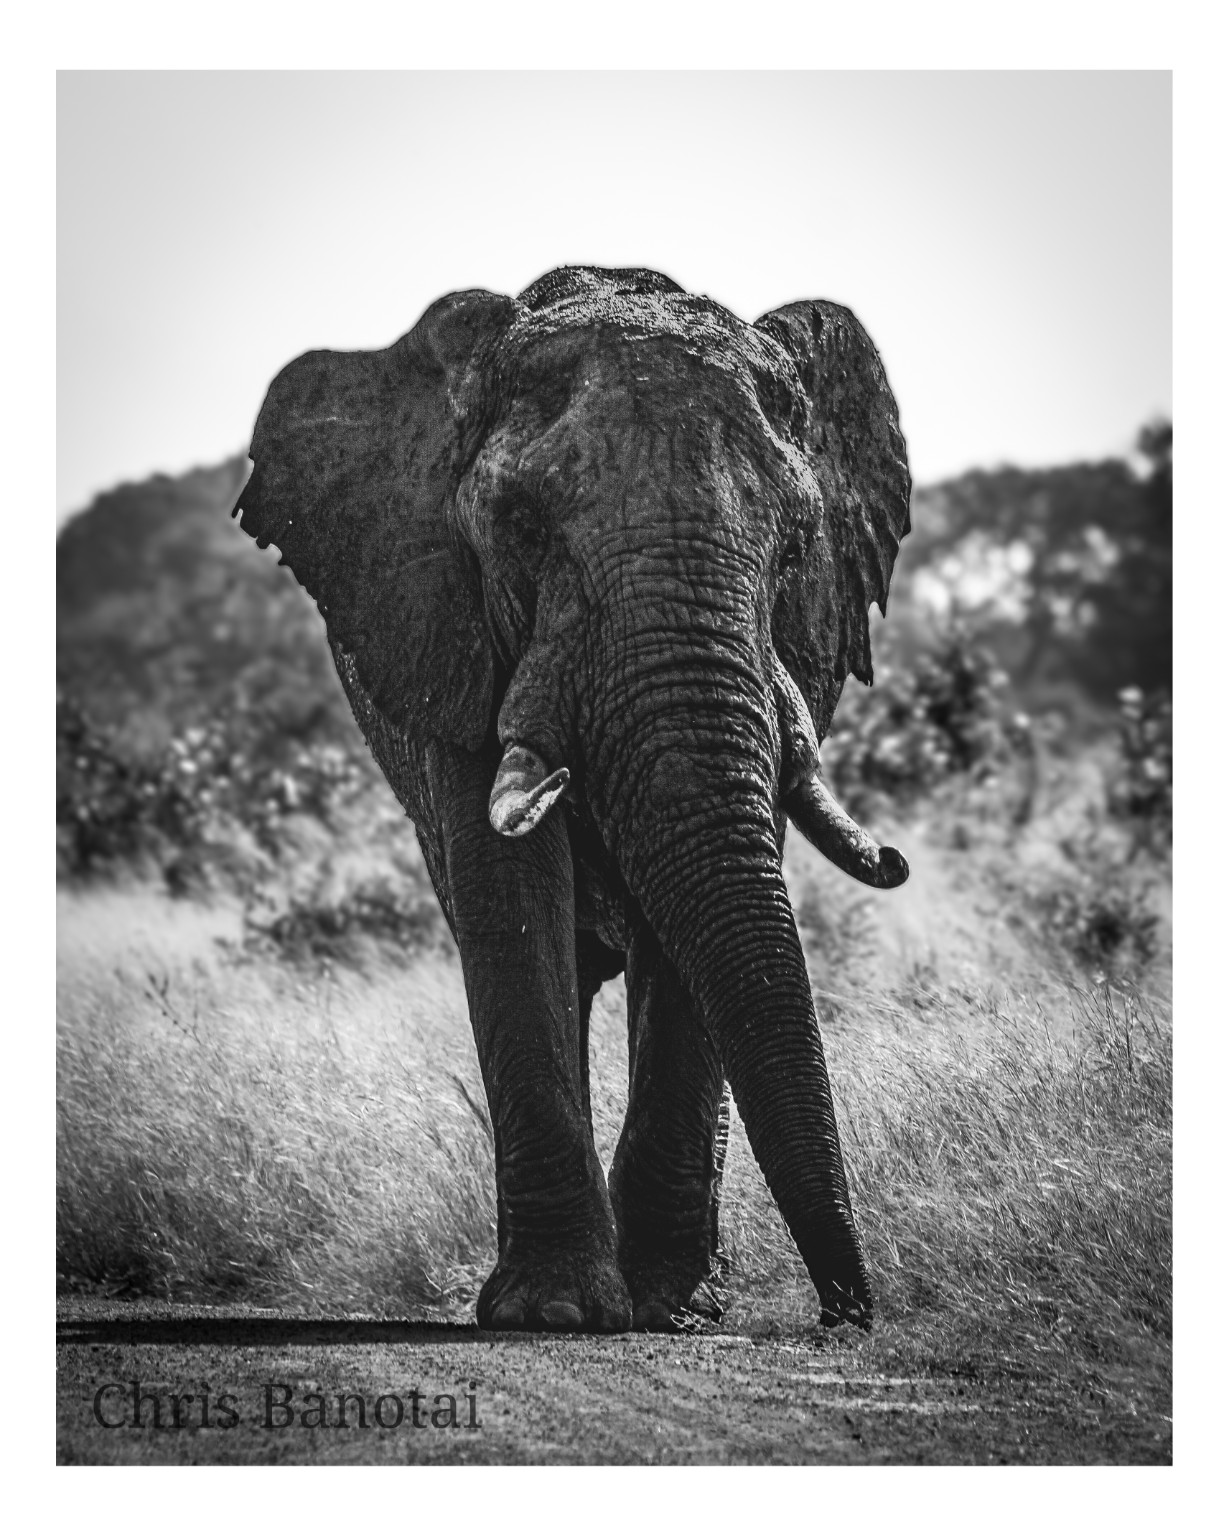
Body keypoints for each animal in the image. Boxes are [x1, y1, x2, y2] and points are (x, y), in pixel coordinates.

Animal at [233, 265, 911, 1334]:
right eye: (519, 530)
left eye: (798, 550)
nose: (846, 1314)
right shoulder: (446, 632)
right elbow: (510, 900)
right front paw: (555, 1313)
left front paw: (672, 1308)